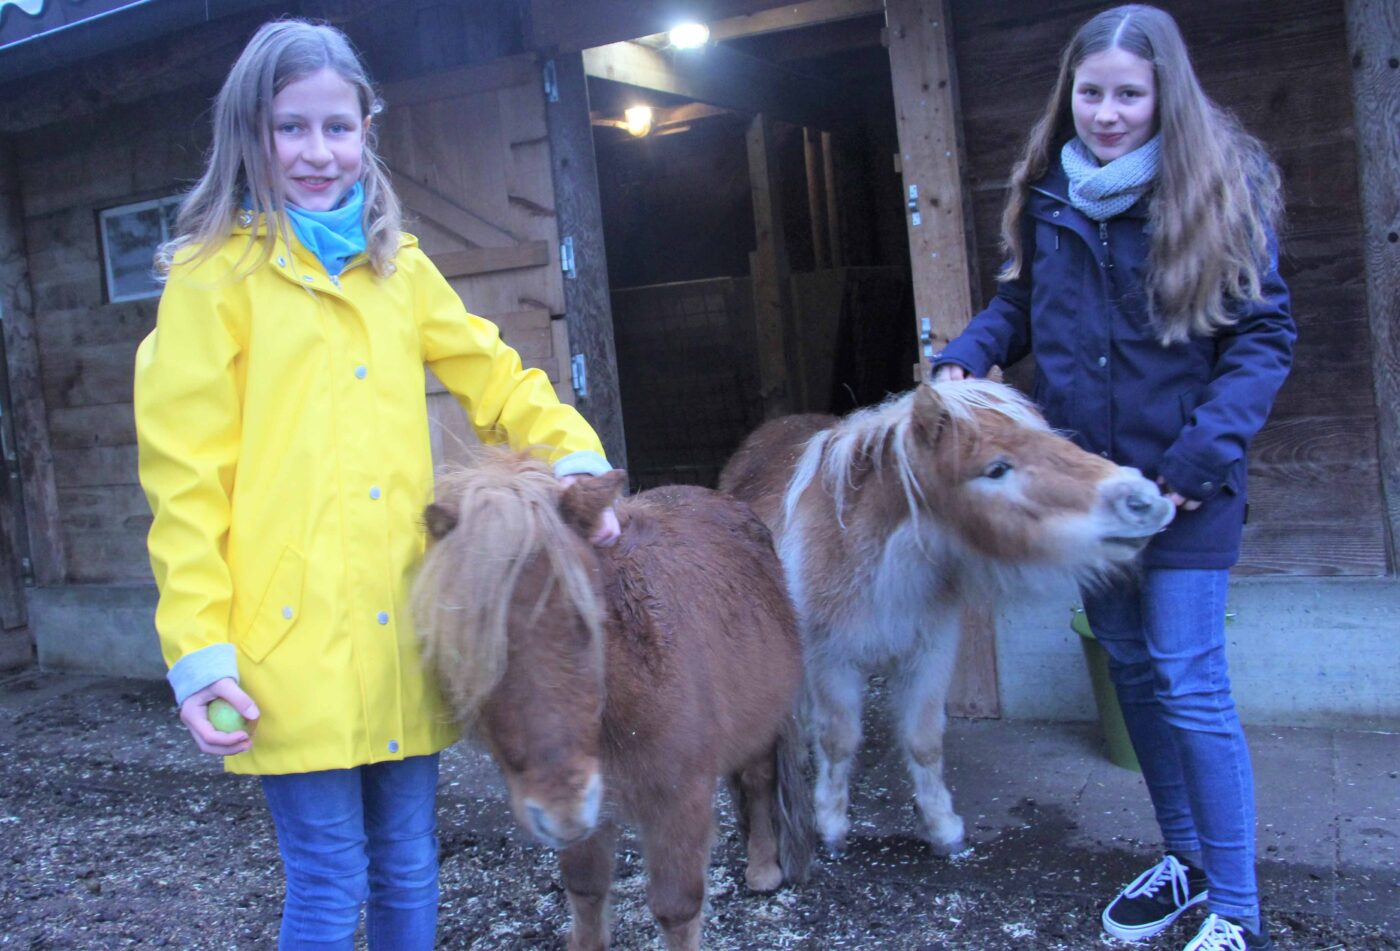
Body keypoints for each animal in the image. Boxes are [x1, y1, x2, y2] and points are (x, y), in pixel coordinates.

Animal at [412, 450, 813, 951]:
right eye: (467, 649)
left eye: (588, 621)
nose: (560, 811)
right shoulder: (591, 808)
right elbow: (585, 889)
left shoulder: (678, 802)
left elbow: (677, 908)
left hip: (763, 725)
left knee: (758, 782)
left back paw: (762, 866)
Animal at [718, 378, 1176, 857]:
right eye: (996, 469)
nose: (1145, 502)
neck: (875, 563)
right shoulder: (834, 660)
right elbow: (839, 740)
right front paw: (831, 825)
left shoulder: (929, 655)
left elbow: (924, 742)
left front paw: (942, 828)